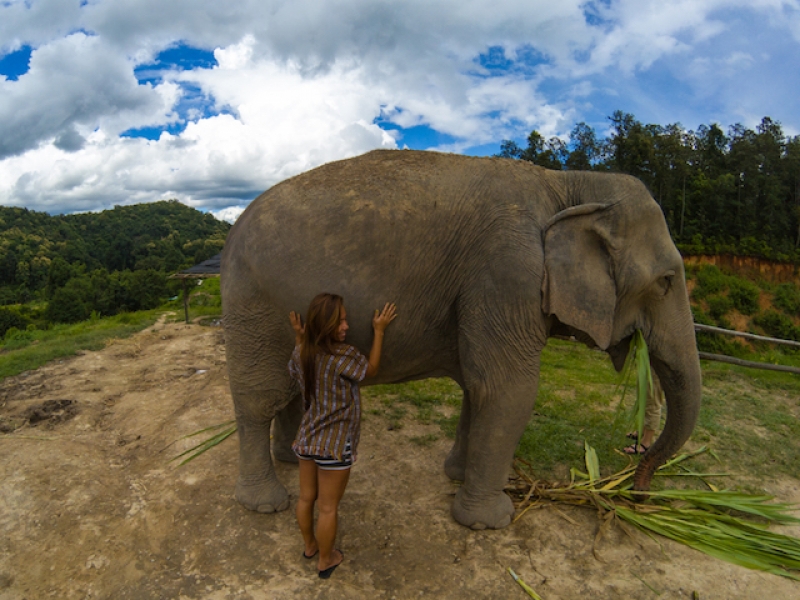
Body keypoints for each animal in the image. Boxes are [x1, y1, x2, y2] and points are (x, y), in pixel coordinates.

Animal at [219, 149, 700, 528]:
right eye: (666, 282)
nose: (638, 492)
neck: (567, 182)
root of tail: (231, 232)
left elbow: (477, 385)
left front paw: (456, 476)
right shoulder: (508, 273)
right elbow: (507, 390)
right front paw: (491, 521)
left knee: (292, 387)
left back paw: (291, 459)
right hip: (252, 304)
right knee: (258, 399)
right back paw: (265, 503)